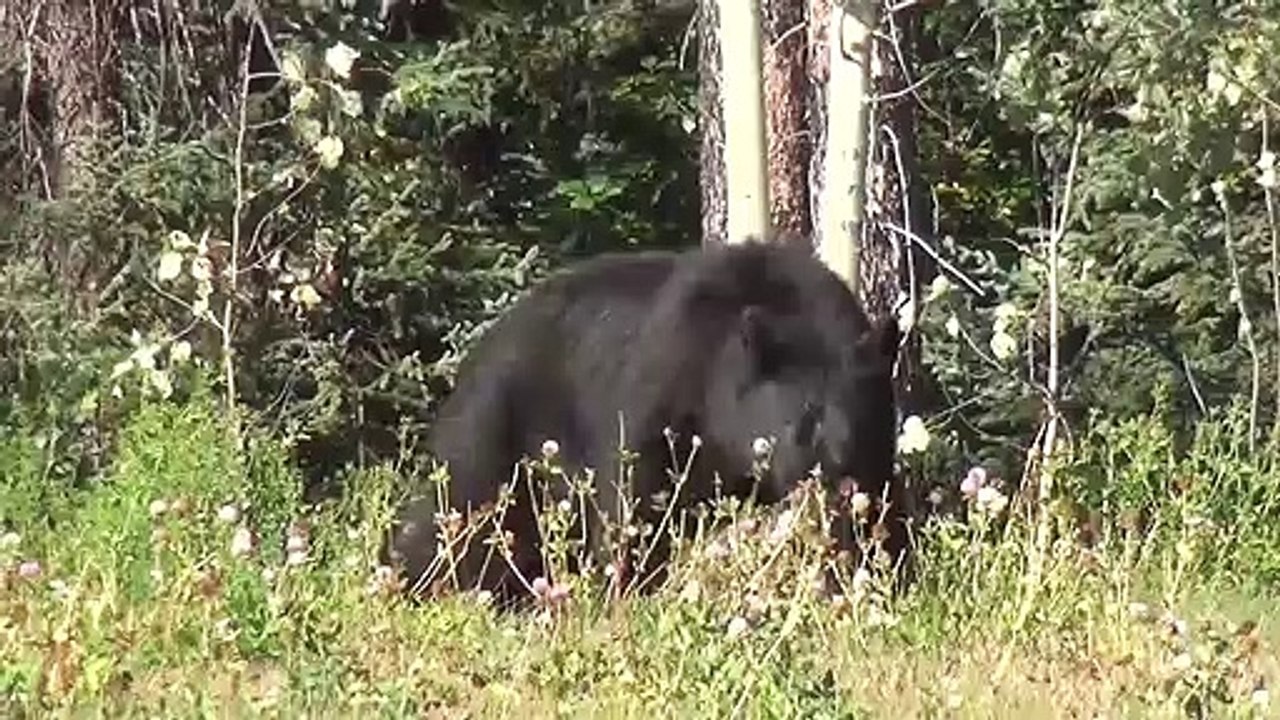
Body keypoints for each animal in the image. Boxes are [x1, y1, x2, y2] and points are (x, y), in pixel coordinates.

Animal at [380, 239, 908, 607]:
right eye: (805, 422)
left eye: (859, 421)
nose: (837, 474)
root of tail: (486, 342)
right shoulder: (666, 380)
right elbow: (635, 496)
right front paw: (627, 589)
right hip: (501, 421)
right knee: (464, 510)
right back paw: (413, 583)